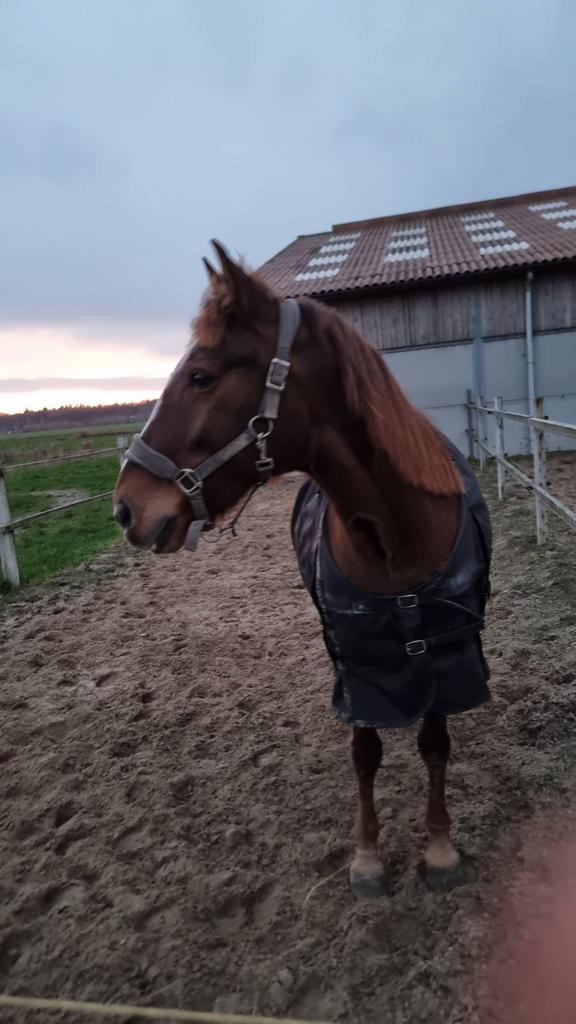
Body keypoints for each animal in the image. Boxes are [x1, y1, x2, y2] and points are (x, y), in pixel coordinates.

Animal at [113, 241, 492, 898]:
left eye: (201, 376)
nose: (125, 507)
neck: (396, 535)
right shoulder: (356, 662)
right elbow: (364, 750)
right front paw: (367, 857)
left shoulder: (448, 655)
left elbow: (434, 742)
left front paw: (440, 849)